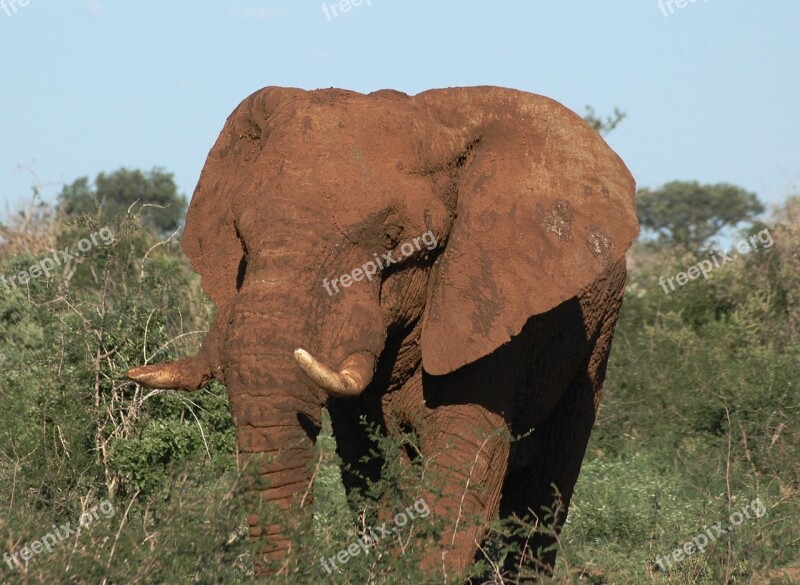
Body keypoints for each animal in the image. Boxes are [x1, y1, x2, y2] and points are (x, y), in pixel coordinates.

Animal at [125, 84, 636, 576]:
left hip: (599, 331)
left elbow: (466, 472)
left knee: (546, 490)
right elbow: (372, 474)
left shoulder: (486, 309)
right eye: (241, 237)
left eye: (394, 239)